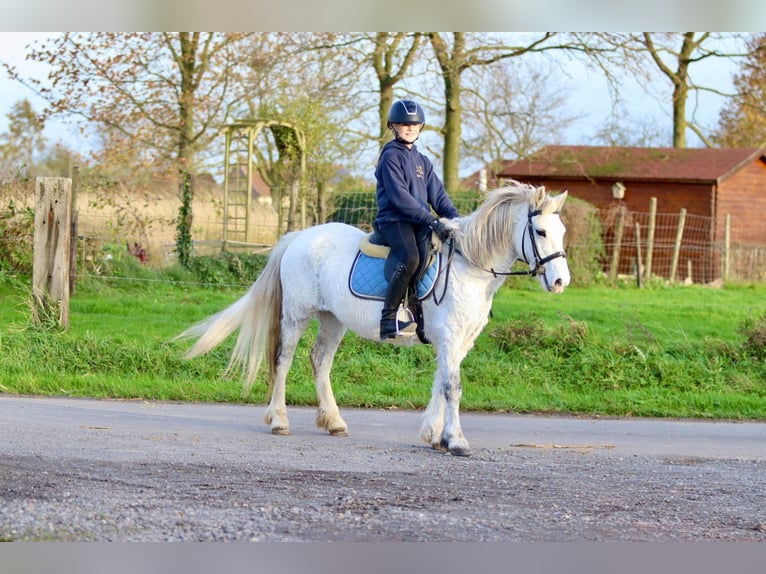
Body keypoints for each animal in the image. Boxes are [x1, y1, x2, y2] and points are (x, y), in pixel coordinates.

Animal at [177, 182, 568, 456]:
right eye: (541, 232)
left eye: (562, 232)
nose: (561, 282)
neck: (468, 264)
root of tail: (299, 237)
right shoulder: (449, 336)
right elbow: (452, 387)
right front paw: (455, 440)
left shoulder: (458, 341)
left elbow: (441, 383)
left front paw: (433, 434)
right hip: (297, 316)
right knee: (283, 361)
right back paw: (279, 420)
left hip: (332, 319)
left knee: (319, 361)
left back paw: (334, 422)